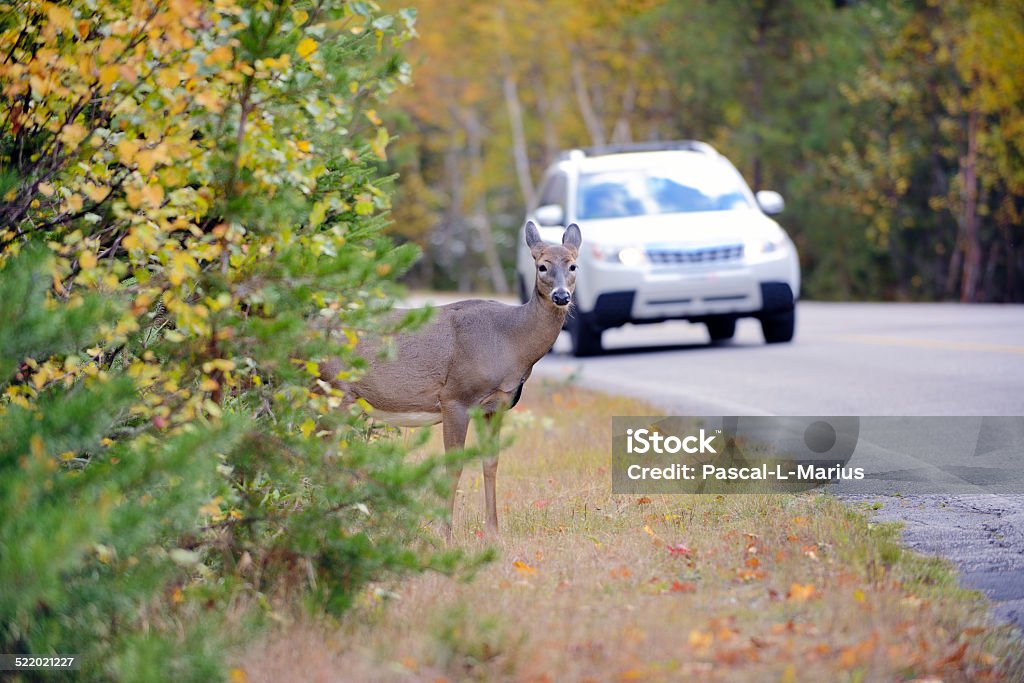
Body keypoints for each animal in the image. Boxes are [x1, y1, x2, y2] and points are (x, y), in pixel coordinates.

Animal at [329, 222, 581, 536]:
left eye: (573, 265)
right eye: (542, 266)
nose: (561, 296)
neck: (509, 341)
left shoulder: (495, 405)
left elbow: (491, 462)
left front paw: (493, 533)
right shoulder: (455, 398)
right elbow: (454, 467)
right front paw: (445, 534)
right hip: (334, 389)